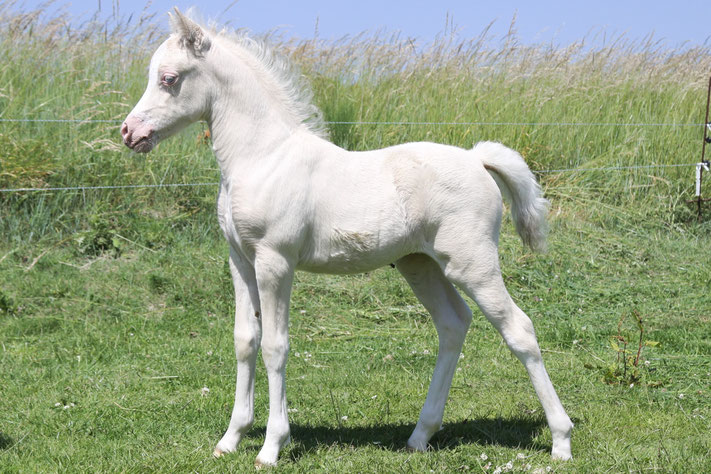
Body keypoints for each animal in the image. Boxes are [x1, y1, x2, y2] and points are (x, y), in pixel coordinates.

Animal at [119, 8, 572, 466]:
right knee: (453, 323)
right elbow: (246, 341)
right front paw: (230, 439)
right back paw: (419, 436)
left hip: (471, 263)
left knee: (519, 329)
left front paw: (271, 446)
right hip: (420, 264)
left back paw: (561, 440)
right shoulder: (241, 260)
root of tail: (477, 159)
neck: (264, 157)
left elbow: (275, 346)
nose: (129, 132)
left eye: (169, 78)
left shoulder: (275, 261)